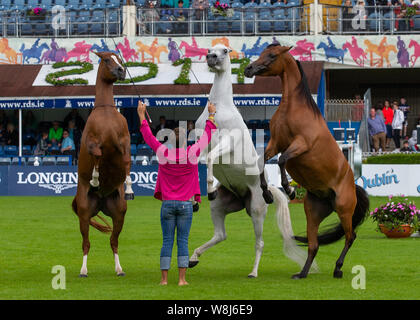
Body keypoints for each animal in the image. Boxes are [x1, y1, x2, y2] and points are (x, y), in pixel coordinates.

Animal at [70, 51, 133, 276]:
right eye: (107, 60)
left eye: (119, 59)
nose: (121, 71)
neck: (106, 112)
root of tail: (102, 200)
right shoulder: (92, 142)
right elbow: (97, 153)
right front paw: (96, 178)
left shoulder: (124, 142)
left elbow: (127, 160)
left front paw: (129, 186)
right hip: (84, 214)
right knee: (86, 243)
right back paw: (83, 270)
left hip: (119, 213)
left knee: (114, 241)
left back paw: (119, 269)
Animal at [189, 45, 316, 278]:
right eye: (210, 50)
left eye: (224, 51)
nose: (211, 58)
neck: (219, 109)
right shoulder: (200, 141)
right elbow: (194, 160)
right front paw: (194, 200)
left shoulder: (226, 143)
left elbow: (209, 158)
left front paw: (209, 188)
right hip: (219, 207)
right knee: (221, 235)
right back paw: (193, 258)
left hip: (256, 211)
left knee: (259, 243)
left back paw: (253, 272)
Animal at [244, 45, 370, 280]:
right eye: (263, 52)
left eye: (272, 56)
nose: (248, 69)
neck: (292, 108)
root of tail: (353, 186)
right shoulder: (275, 143)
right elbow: (262, 162)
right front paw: (267, 194)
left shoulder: (300, 145)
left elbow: (282, 161)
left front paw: (289, 190)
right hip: (313, 212)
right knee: (314, 244)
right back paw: (302, 273)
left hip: (344, 209)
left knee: (350, 237)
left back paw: (338, 268)